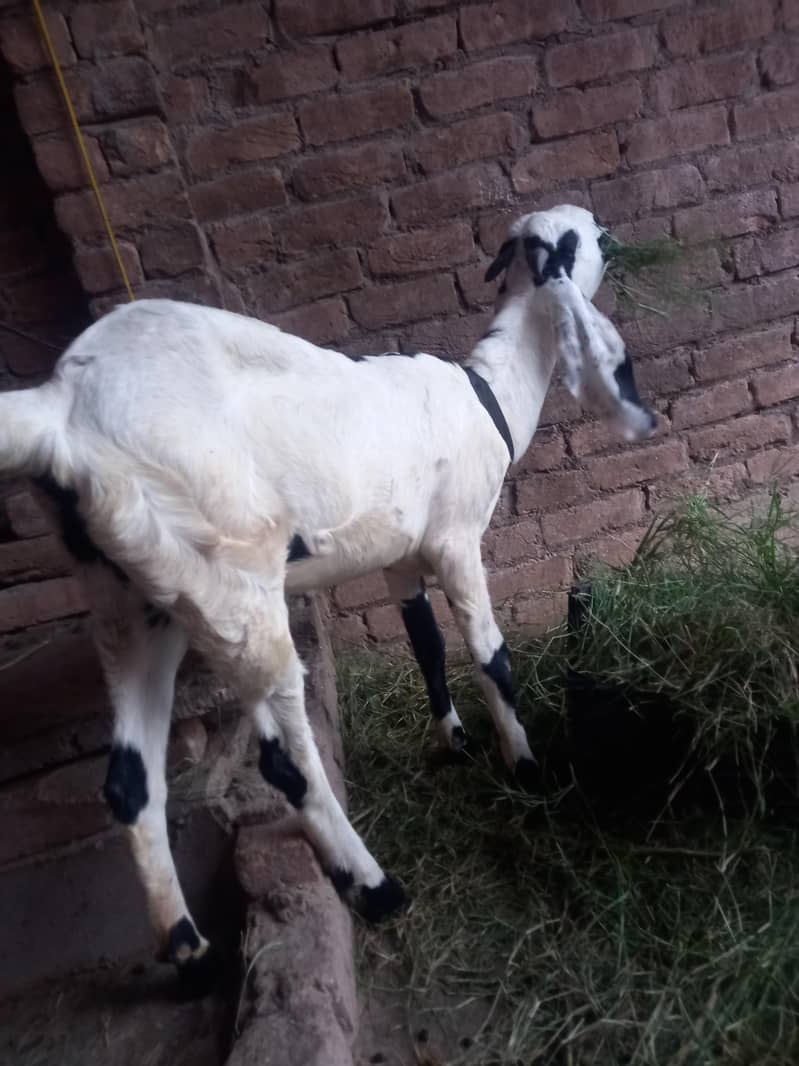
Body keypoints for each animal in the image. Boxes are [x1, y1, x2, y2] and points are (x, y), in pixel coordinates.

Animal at [0, 205, 654, 991]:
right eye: (589, 240)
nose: (619, 240)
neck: (489, 395)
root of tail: (58, 413)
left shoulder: (400, 556)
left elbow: (424, 643)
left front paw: (454, 741)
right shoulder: (456, 541)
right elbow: (488, 656)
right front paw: (524, 765)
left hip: (131, 598)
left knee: (129, 781)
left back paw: (188, 951)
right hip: (233, 585)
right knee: (284, 761)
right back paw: (373, 887)